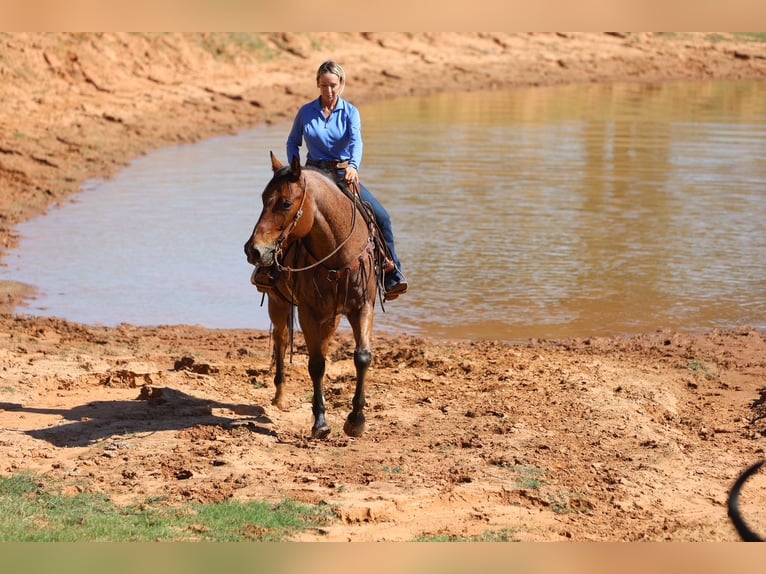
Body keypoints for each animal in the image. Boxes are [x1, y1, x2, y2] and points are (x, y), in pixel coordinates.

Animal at [243, 152, 380, 439]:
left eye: (285, 203)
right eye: (263, 199)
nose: (253, 250)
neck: (337, 254)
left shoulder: (362, 306)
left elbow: (362, 356)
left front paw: (356, 420)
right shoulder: (308, 311)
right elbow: (315, 364)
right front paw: (320, 423)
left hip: (332, 316)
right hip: (278, 303)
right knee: (282, 340)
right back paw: (279, 396)